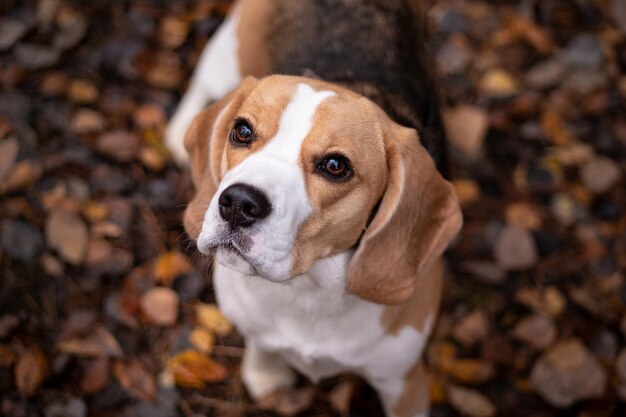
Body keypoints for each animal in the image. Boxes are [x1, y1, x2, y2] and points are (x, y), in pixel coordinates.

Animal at [165, 0, 458, 416]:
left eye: (335, 166)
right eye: (242, 131)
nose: (238, 204)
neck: (306, 292)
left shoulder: (405, 383)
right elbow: (261, 341)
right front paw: (266, 370)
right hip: (229, 50)